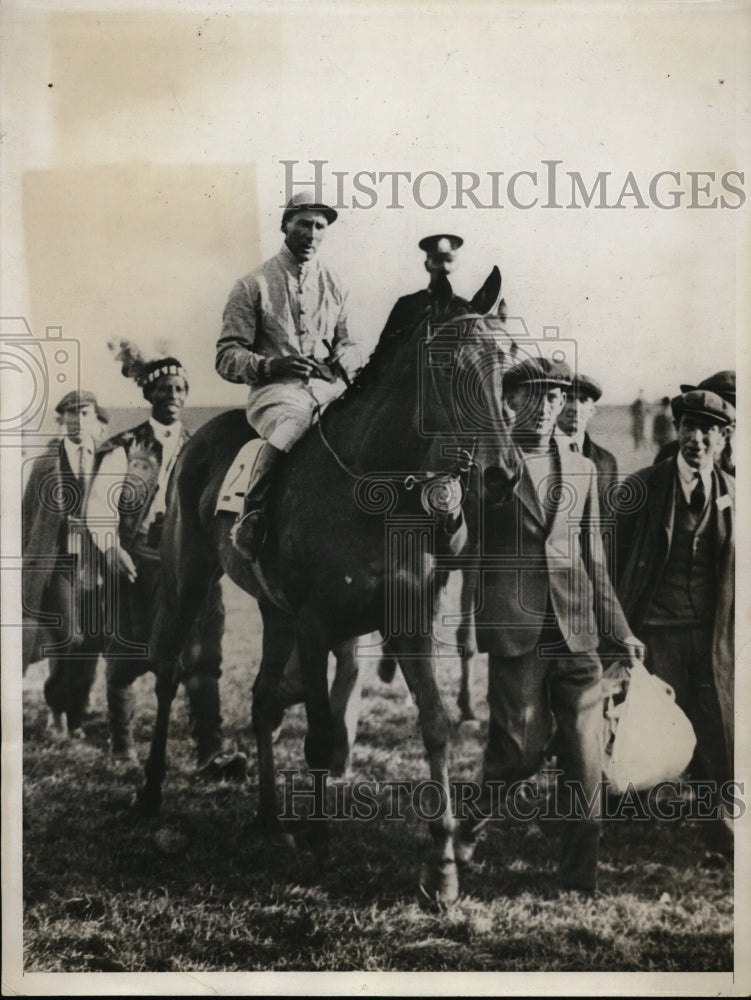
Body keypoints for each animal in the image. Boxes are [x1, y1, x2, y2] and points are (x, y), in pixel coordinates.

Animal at [138, 278, 516, 904]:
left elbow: (435, 726)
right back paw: (149, 794)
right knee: (169, 675)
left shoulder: (408, 624)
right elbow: (318, 734)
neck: (373, 492)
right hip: (186, 578)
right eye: (446, 364)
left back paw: (270, 817)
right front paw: (318, 842)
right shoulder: (316, 627)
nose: (503, 475)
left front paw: (441, 867)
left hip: (273, 613)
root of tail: (199, 437)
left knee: (262, 701)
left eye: (506, 363)